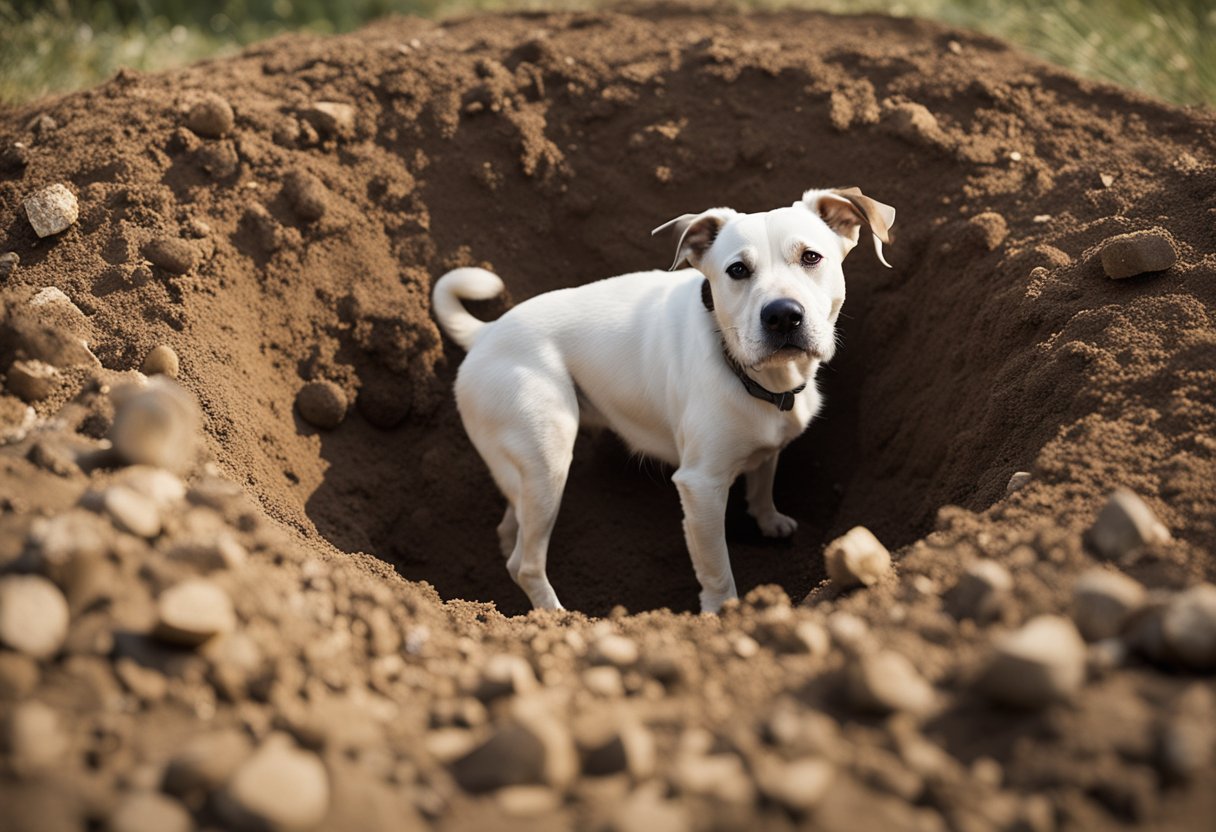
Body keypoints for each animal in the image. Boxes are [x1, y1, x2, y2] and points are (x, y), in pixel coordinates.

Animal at [432, 192, 890, 613]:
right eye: (737, 270)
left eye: (811, 257)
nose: (782, 315)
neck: (754, 375)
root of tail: (487, 332)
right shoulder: (700, 486)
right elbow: (716, 569)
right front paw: (722, 614)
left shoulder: (766, 449)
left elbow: (763, 479)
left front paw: (769, 520)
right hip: (549, 465)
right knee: (525, 564)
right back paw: (557, 618)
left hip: (529, 473)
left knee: (511, 529)